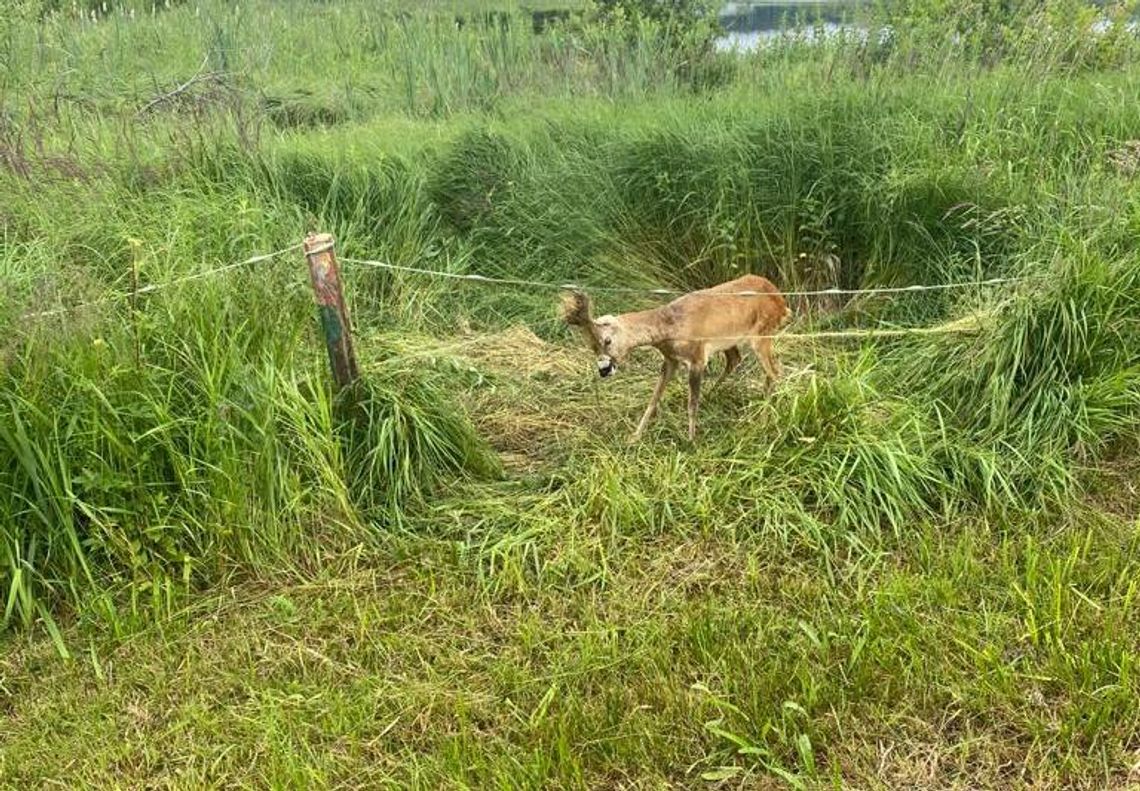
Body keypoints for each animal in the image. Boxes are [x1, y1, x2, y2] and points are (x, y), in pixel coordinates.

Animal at [563, 275, 793, 442]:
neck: (669, 326)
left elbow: (691, 404)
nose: (603, 370)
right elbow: (654, 398)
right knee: (737, 360)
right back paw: (716, 396)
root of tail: (780, 300)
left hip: (762, 335)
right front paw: (634, 437)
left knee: (775, 371)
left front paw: (691, 441)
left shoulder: (697, 359)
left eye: (607, 340)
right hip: (732, 341)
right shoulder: (670, 360)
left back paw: (762, 419)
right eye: (592, 347)